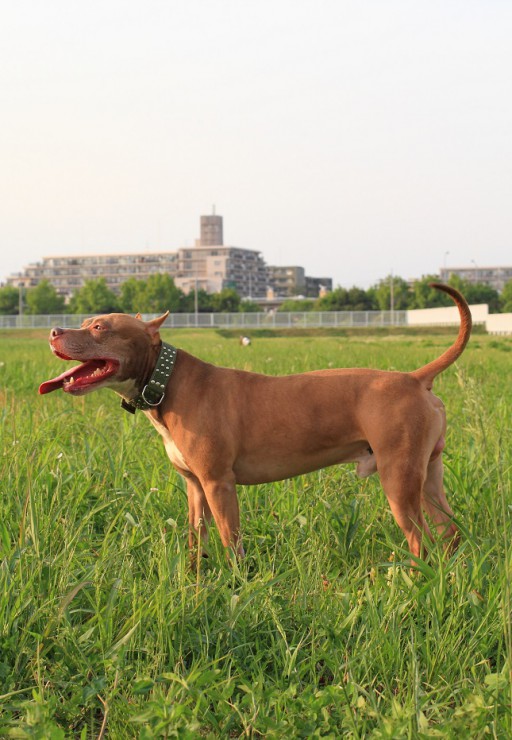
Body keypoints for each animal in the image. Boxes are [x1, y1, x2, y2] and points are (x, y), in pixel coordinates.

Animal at [39, 283, 471, 561]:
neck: (165, 379)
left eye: (100, 327)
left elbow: (232, 543)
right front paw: (195, 582)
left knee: (420, 542)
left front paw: (236, 586)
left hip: (398, 481)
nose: (54, 330)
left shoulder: (219, 484)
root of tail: (414, 378)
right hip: (427, 476)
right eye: (86, 321)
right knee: (448, 531)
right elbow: (197, 541)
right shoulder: (195, 488)